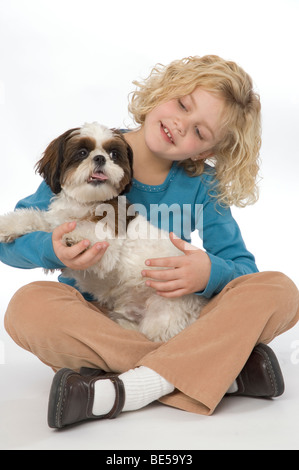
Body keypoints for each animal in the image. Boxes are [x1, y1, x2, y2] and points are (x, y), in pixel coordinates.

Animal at [0, 123, 207, 340]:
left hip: (163, 316)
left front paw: (76, 238)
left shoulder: (109, 244)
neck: (85, 204)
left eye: (113, 154)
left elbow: (95, 233)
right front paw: (8, 224)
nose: (100, 158)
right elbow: (33, 218)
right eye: (82, 152)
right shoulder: (54, 223)